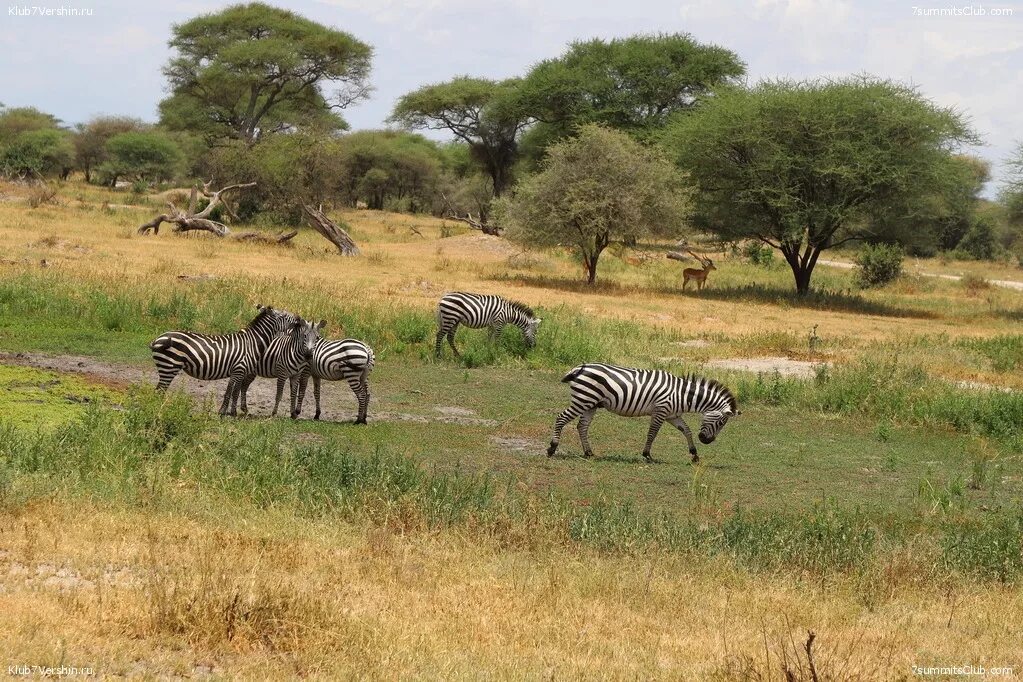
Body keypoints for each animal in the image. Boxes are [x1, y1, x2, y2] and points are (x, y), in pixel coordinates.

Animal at [149, 304, 298, 417]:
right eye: (284, 316)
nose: (299, 318)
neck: (252, 343)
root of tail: (158, 338)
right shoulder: (239, 369)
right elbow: (231, 392)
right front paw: (228, 412)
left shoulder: (239, 372)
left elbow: (233, 392)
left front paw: (228, 411)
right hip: (169, 365)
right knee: (159, 391)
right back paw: (159, 411)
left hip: (167, 366)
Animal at [548, 361, 740, 464]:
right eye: (721, 422)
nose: (707, 441)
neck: (682, 395)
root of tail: (580, 367)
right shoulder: (661, 410)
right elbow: (652, 433)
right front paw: (647, 455)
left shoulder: (673, 415)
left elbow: (686, 430)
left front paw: (694, 455)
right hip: (584, 400)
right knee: (561, 418)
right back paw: (552, 448)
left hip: (591, 403)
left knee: (582, 426)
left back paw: (588, 453)